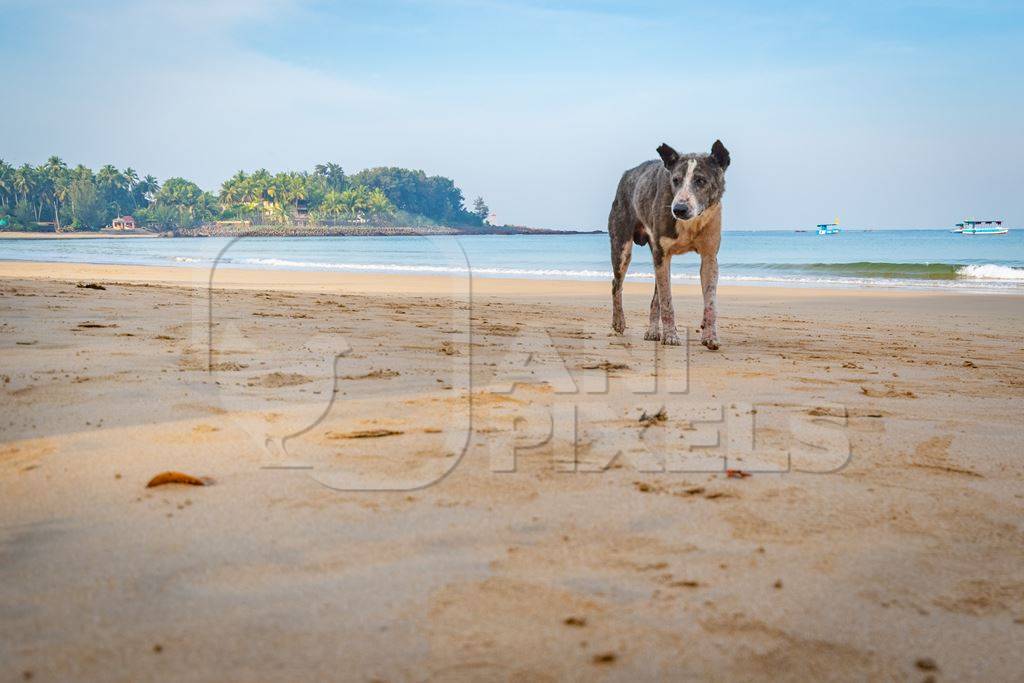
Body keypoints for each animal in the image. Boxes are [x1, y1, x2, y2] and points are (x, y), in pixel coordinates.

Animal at [606, 141, 729, 350]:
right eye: (676, 180)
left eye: (701, 180)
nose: (679, 209)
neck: (690, 223)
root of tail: (627, 174)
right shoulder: (662, 255)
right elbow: (667, 301)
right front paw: (671, 336)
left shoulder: (709, 257)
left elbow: (710, 302)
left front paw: (710, 336)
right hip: (622, 247)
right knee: (617, 284)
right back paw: (619, 322)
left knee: (655, 297)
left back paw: (653, 331)